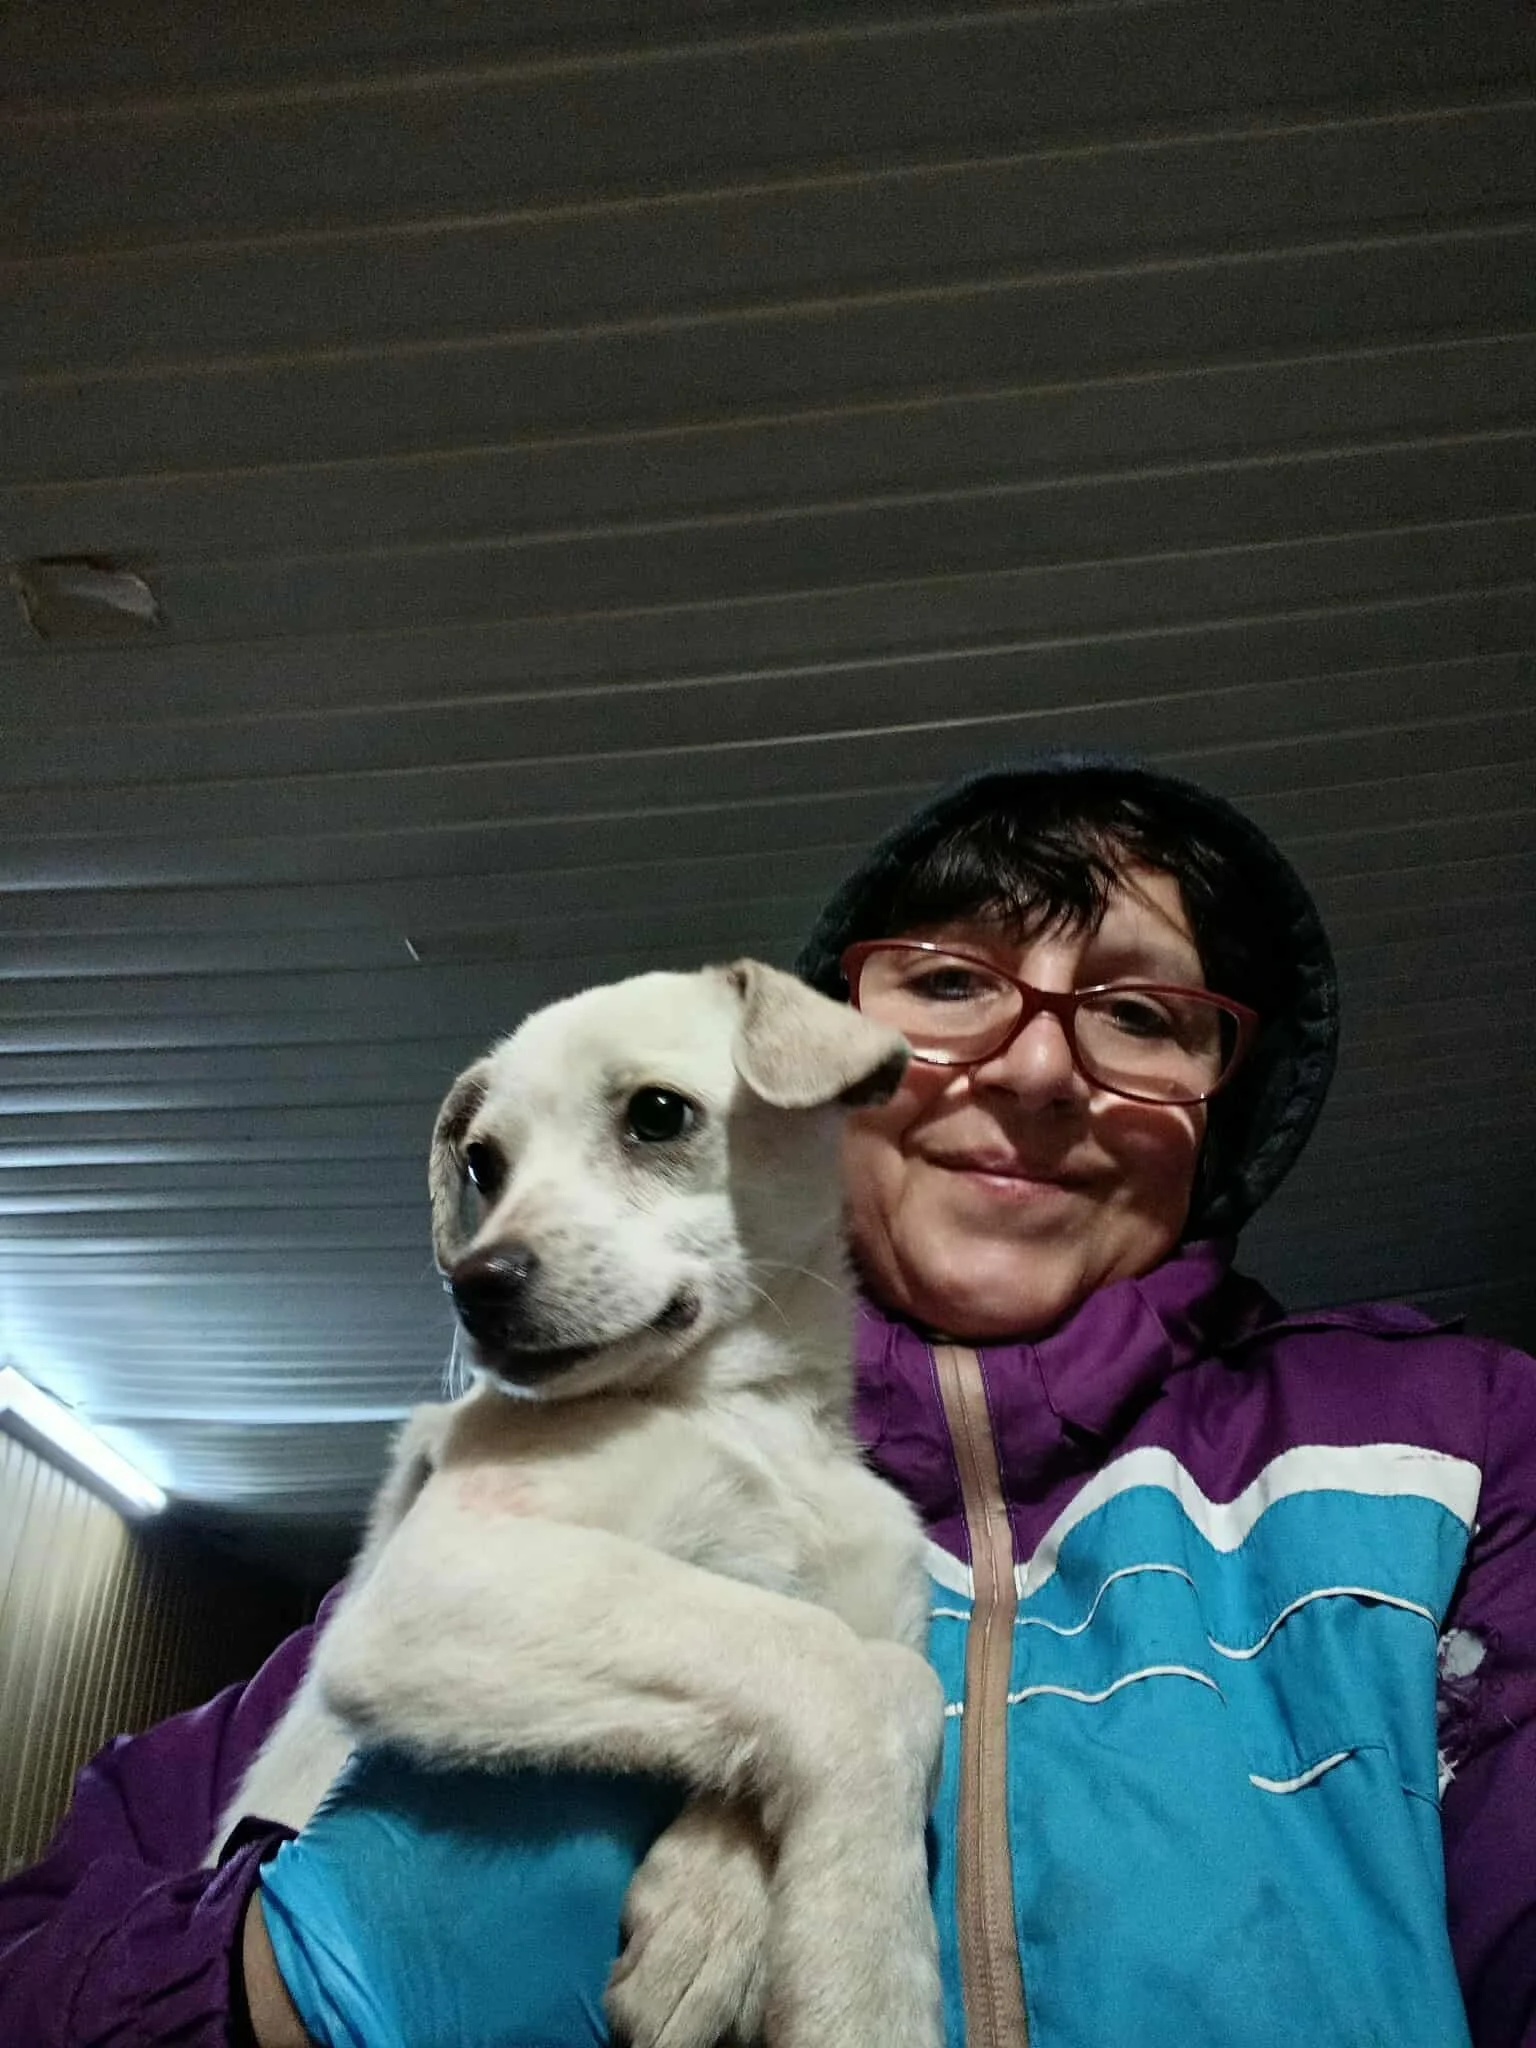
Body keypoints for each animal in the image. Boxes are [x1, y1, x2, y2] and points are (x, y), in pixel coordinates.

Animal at [217, 960, 946, 2048]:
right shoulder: (447, 1575)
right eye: (482, 1162)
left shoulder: (864, 1596)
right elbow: (846, 1675)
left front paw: (703, 1918)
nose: (472, 1286)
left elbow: (859, 1676)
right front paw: (863, 1981)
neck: (748, 1414)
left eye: (657, 1114)